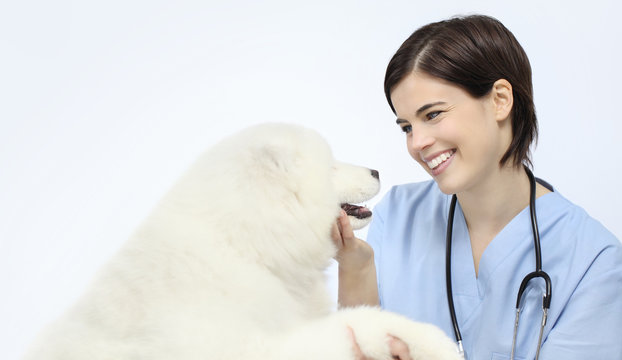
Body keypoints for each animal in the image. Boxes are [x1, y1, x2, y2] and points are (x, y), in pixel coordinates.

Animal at [24, 124, 460, 360]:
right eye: (332, 165)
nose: (376, 170)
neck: (246, 247)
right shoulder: (254, 347)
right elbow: (365, 318)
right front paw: (435, 342)